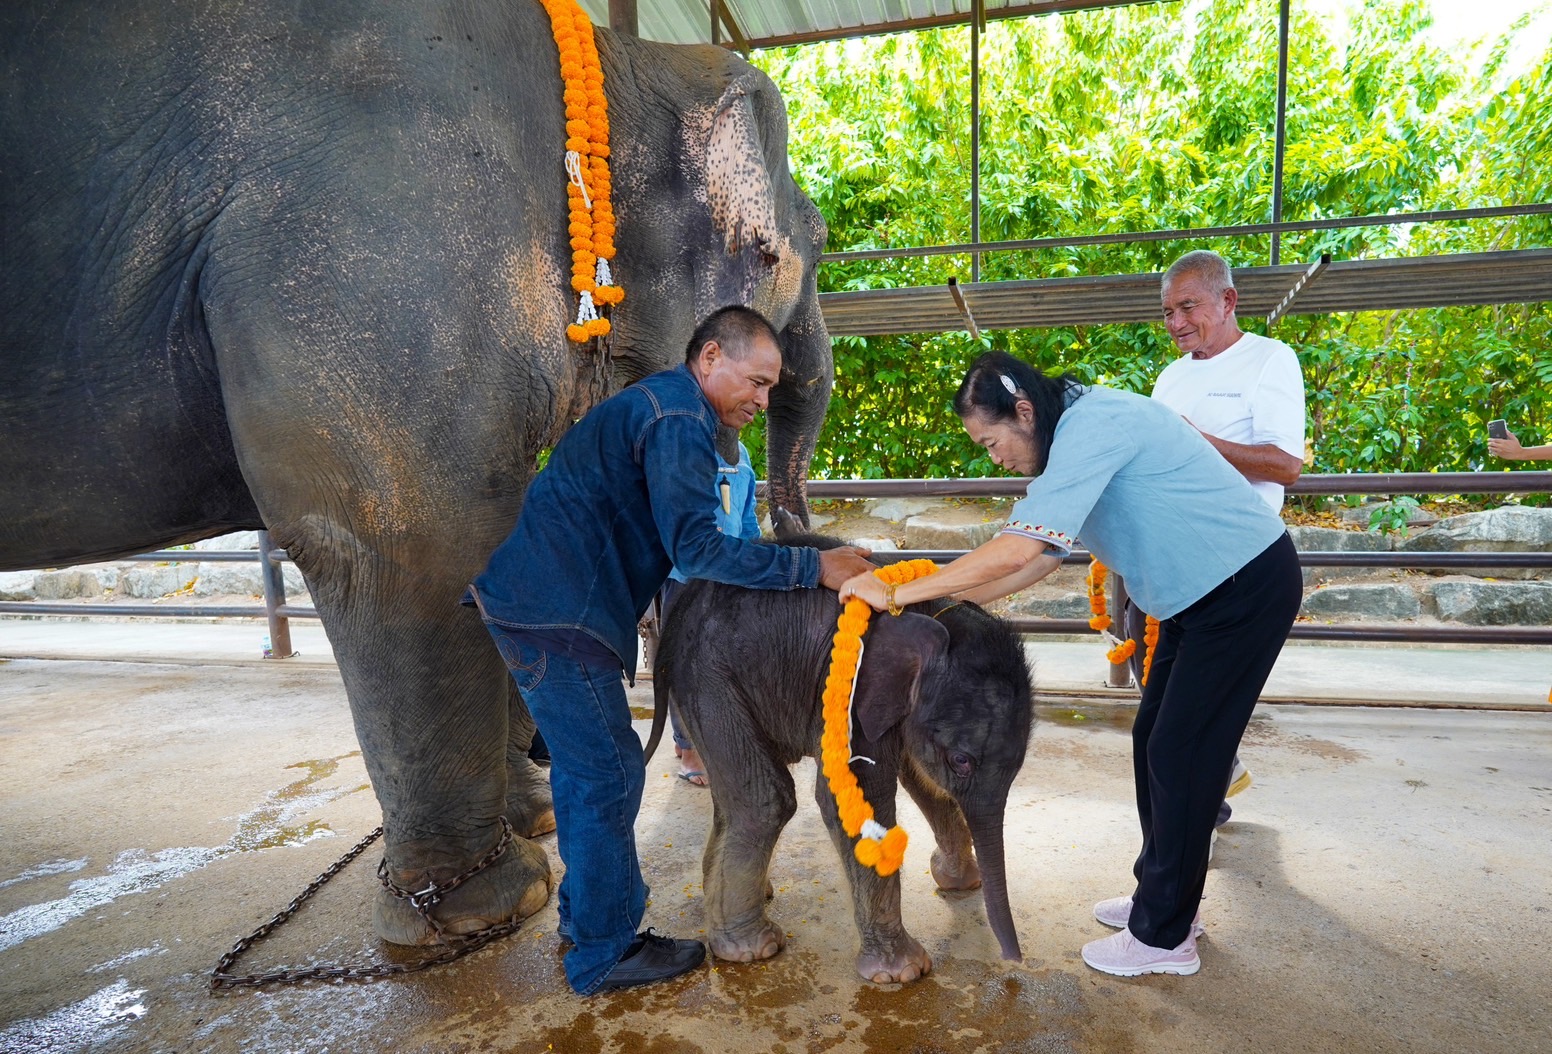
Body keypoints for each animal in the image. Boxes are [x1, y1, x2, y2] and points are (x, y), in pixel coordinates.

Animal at [3, 2, 838, 949]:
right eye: (798, 247)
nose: (801, 527)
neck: (619, 59)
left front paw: (534, 820)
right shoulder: (378, 238)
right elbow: (414, 534)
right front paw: (494, 906)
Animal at [651, 524, 1030, 987]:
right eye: (962, 761)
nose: (1013, 963)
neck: (932, 614)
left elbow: (918, 777)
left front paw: (956, 882)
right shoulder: (854, 687)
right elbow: (854, 800)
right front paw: (903, 973)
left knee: (735, 797)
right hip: (709, 679)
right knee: (764, 799)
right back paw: (751, 949)